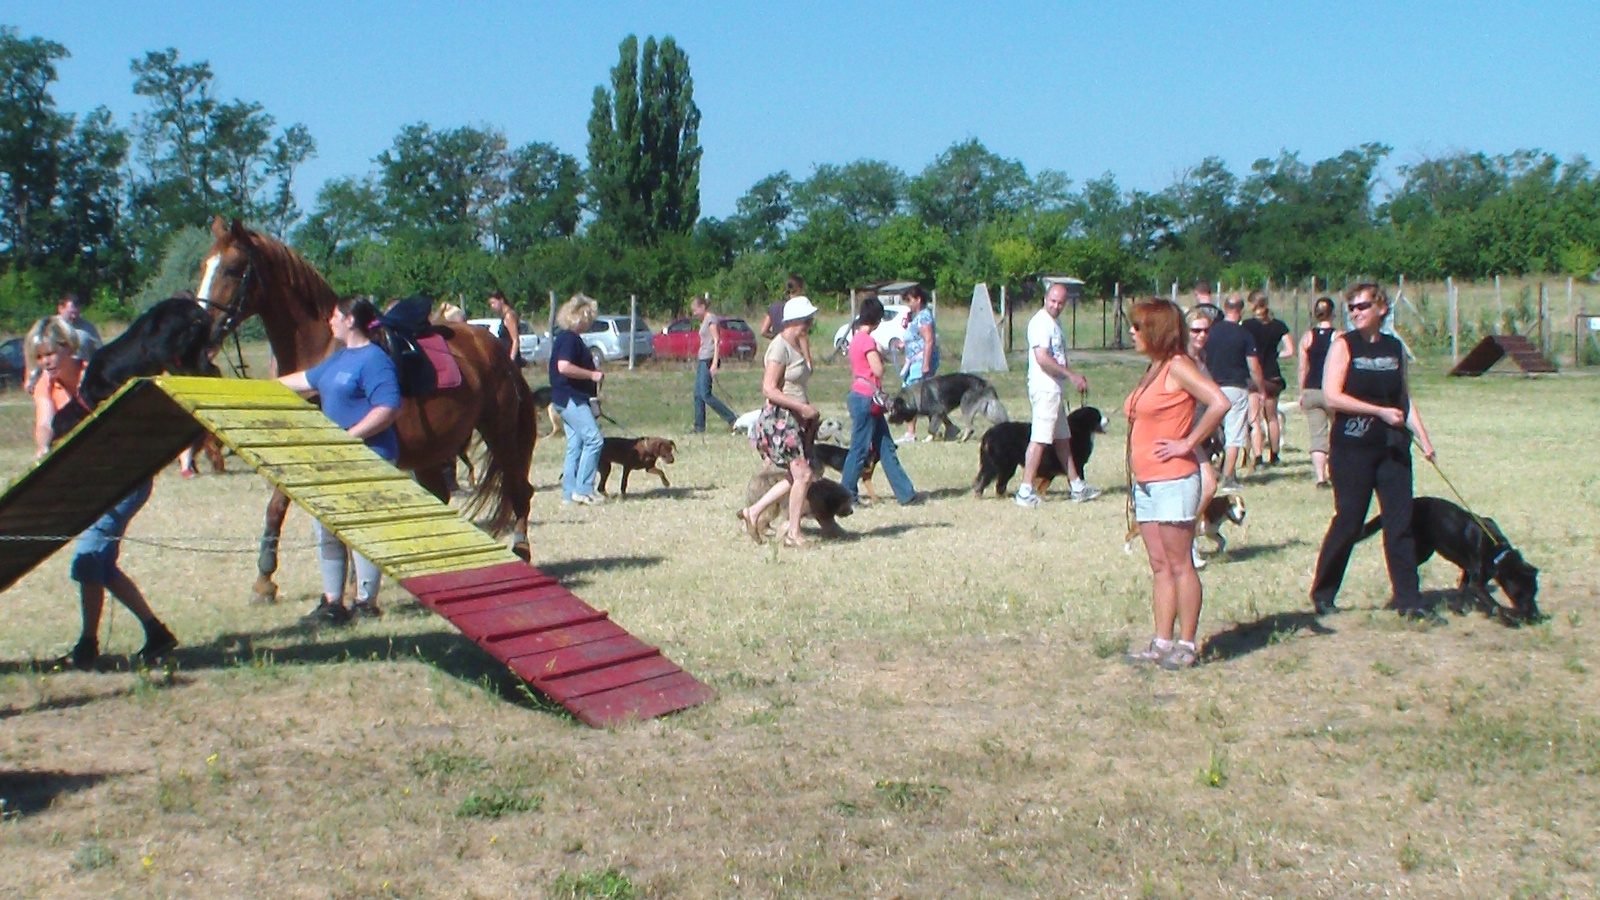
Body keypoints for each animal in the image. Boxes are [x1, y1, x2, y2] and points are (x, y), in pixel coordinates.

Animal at [196, 212, 534, 598]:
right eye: (204, 265)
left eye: (233, 268)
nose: (202, 330)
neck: (324, 351)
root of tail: (493, 347)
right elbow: (278, 506)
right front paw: (267, 580)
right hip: (434, 447)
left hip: (500, 433)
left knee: (518, 490)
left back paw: (521, 550)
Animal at [966, 406, 1107, 496]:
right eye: (1098, 416)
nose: (1108, 419)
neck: (1078, 429)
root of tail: (990, 433)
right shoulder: (1076, 464)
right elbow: (1078, 478)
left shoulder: (1048, 469)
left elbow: (1043, 484)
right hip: (1004, 465)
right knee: (994, 482)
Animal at [1350, 493, 1536, 621]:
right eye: (1524, 591)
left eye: (1535, 591)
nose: (1534, 614)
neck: (1498, 553)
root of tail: (1412, 503)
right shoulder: (1478, 583)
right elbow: (1494, 604)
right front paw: (1508, 619)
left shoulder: (1468, 571)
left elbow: (1461, 589)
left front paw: (1457, 609)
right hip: (1420, 549)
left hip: (1426, 549)